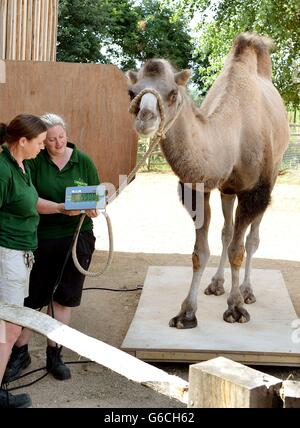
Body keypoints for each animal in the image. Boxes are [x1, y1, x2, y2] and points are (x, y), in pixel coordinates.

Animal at [126, 33, 288, 328]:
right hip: (227, 189)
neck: (232, 134)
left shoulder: (254, 190)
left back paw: (247, 291)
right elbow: (199, 252)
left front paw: (235, 307)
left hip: (273, 171)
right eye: (132, 93)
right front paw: (187, 313)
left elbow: (239, 250)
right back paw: (216, 284)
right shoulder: (198, 188)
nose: (145, 119)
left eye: (173, 93)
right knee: (226, 232)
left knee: (251, 239)